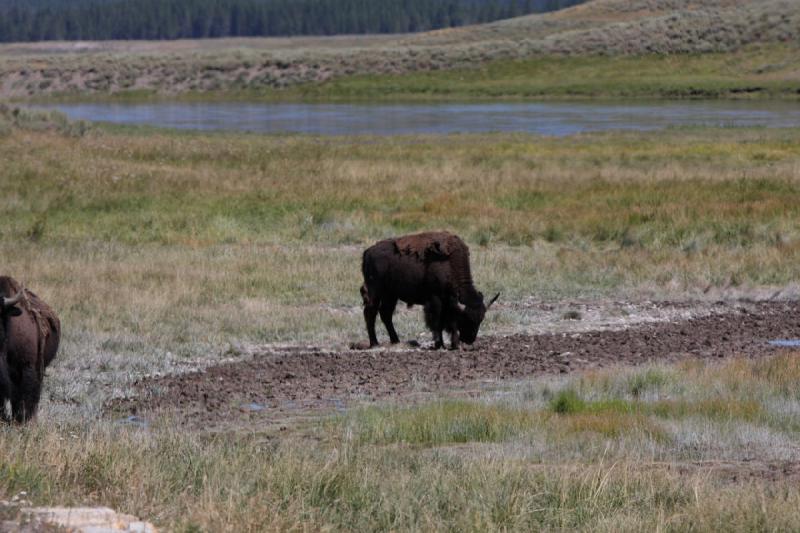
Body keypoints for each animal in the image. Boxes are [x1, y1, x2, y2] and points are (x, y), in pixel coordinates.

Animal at [360, 232, 496, 350]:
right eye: (467, 318)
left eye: (481, 319)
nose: (469, 339)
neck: (450, 265)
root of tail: (368, 252)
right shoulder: (435, 301)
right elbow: (437, 323)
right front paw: (439, 344)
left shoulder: (449, 304)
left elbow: (450, 323)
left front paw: (454, 345)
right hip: (376, 292)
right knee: (370, 313)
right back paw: (375, 343)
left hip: (390, 295)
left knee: (385, 314)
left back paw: (395, 341)